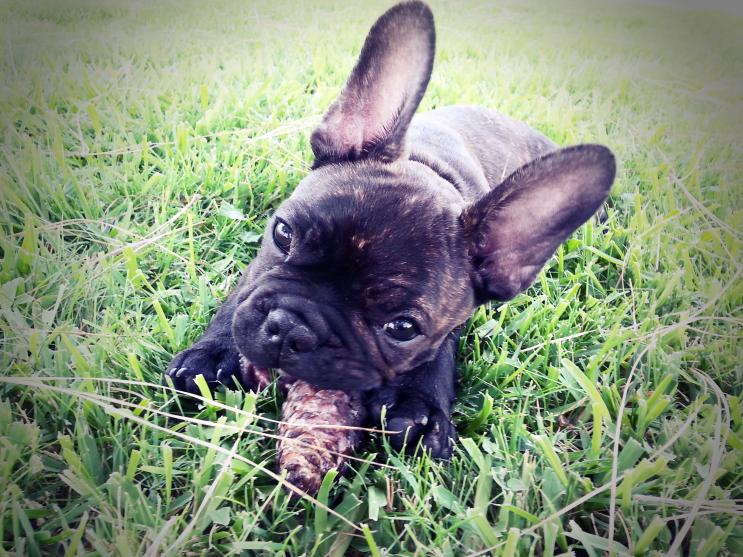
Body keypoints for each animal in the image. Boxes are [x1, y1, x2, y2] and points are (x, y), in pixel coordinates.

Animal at [164, 1, 616, 456]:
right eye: (283, 234)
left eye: (402, 329)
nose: (291, 327)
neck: (431, 167)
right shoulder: (256, 274)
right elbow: (241, 295)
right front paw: (213, 353)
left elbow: (439, 350)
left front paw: (419, 403)